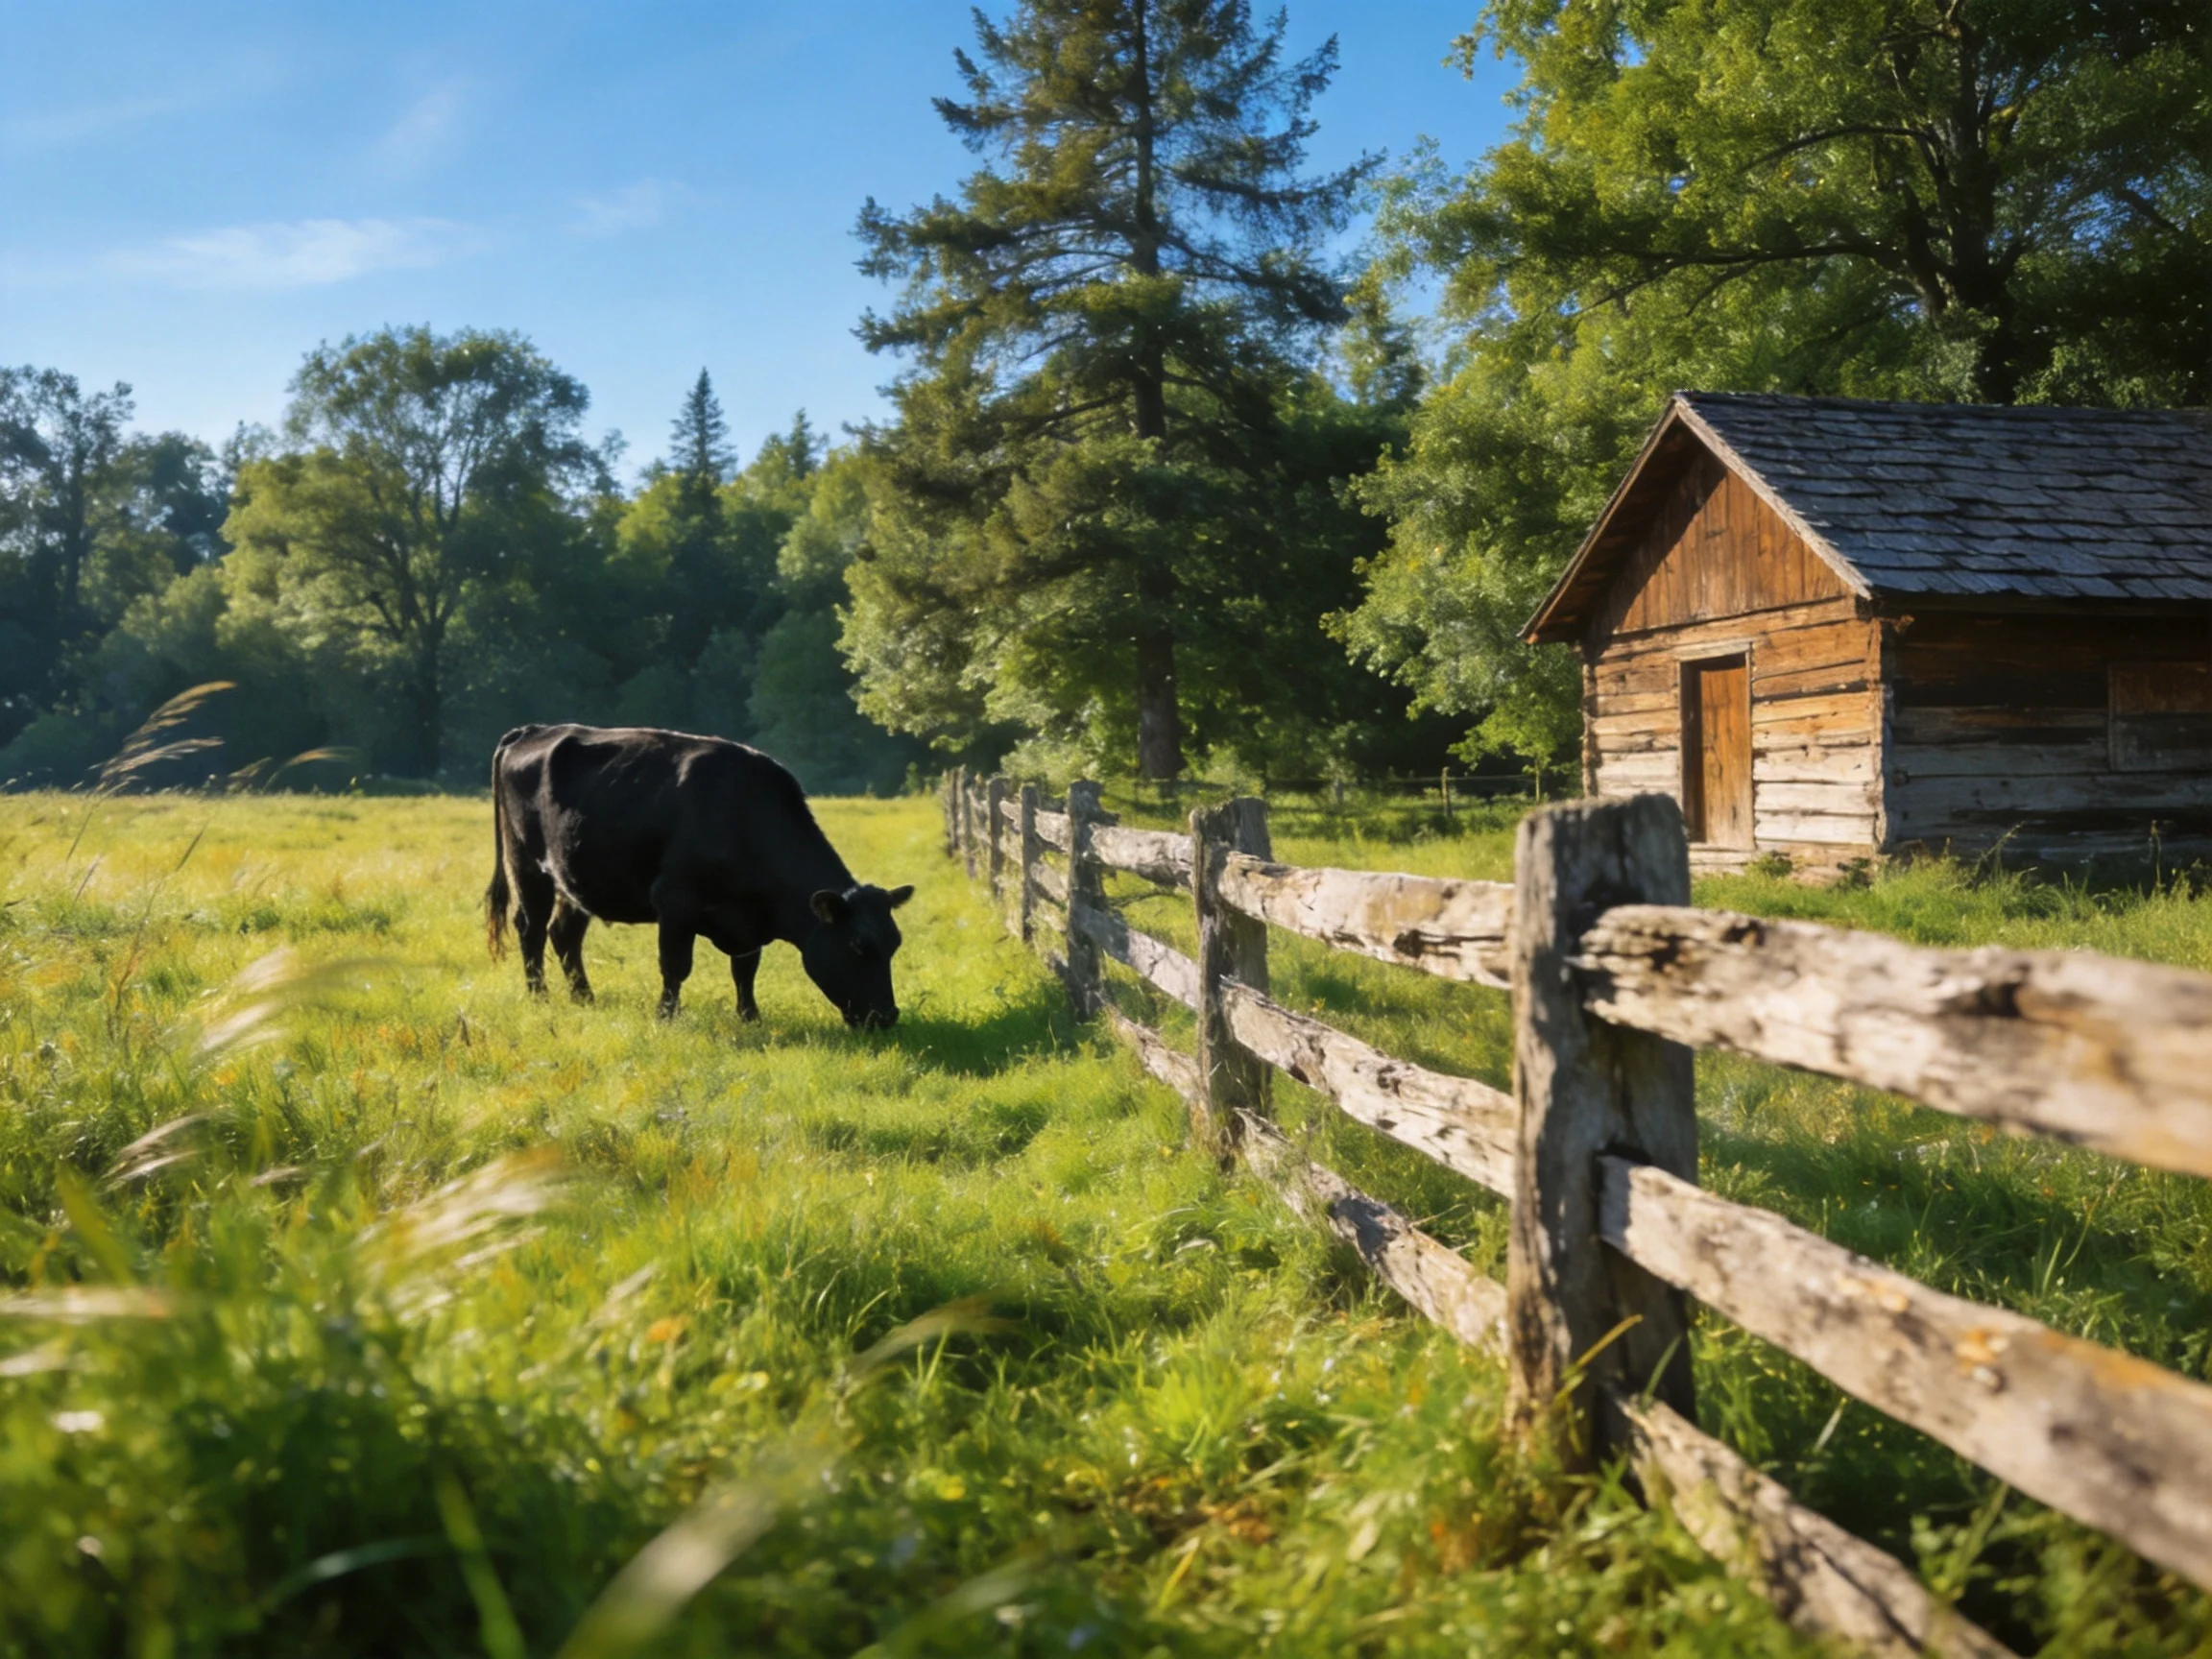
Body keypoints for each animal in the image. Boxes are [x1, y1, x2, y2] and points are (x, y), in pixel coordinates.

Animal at [484, 724, 912, 1028]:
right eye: (858, 945)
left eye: (895, 944)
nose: (887, 1017)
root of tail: (533, 730)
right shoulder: (675, 901)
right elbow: (675, 965)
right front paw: (666, 1017)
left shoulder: (746, 921)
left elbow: (745, 969)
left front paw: (750, 1017)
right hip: (528, 867)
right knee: (531, 929)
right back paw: (539, 997)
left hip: (575, 878)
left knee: (564, 934)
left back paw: (584, 998)